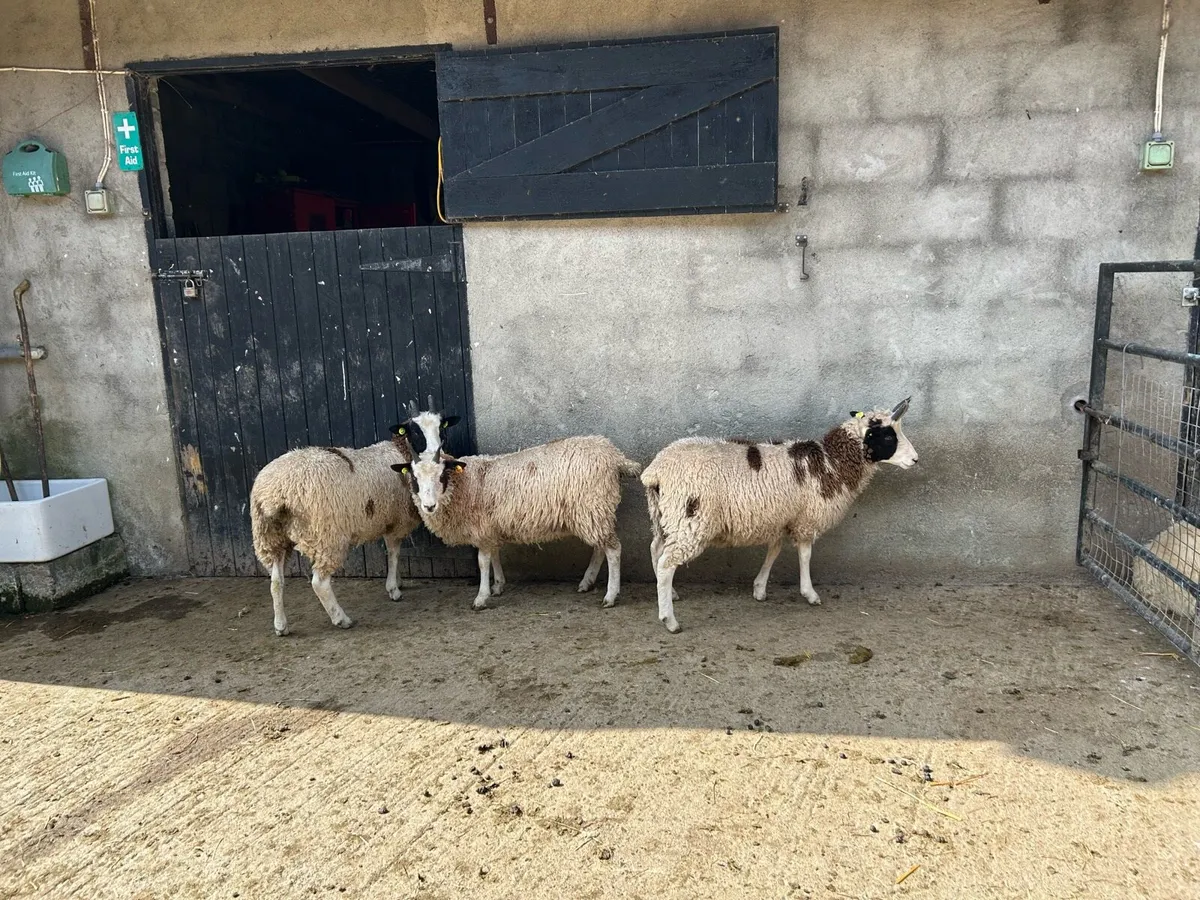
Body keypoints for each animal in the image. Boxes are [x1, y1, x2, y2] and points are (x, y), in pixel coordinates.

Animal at [250, 405, 458, 636]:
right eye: (415, 431)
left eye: (441, 428)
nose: (435, 453)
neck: (400, 452)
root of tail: (276, 492)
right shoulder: (397, 521)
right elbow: (394, 554)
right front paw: (393, 589)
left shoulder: (387, 519)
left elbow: (392, 553)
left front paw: (398, 581)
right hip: (326, 536)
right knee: (319, 583)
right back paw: (341, 619)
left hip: (270, 537)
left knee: (276, 581)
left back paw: (281, 625)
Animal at [390, 437, 642, 610]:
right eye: (414, 478)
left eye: (442, 476)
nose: (429, 506)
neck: (464, 485)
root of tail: (616, 457)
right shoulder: (490, 528)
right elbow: (494, 556)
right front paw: (498, 586)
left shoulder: (482, 529)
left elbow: (483, 562)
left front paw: (481, 597)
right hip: (595, 512)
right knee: (600, 547)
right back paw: (587, 582)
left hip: (593, 507)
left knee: (613, 549)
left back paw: (610, 596)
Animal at [641, 398, 918, 633]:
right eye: (886, 434)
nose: (915, 459)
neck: (831, 463)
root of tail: (656, 471)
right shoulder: (806, 518)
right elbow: (805, 555)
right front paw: (809, 594)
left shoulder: (781, 518)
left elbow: (773, 551)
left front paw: (759, 589)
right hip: (690, 519)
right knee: (666, 564)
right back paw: (669, 619)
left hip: (665, 516)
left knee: (656, 550)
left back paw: (669, 594)